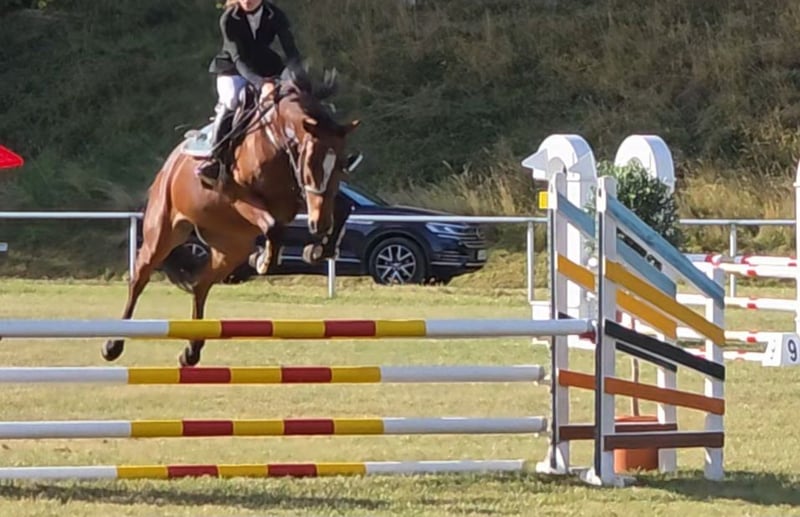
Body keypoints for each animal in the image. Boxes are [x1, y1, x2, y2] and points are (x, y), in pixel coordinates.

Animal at [102, 67, 360, 367]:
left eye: (341, 164)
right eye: (310, 162)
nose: (319, 225)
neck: (276, 139)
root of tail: (168, 165)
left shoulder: (298, 198)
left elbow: (342, 208)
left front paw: (319, 249)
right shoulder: (239, 195)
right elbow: (273, 226)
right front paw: (264, 260)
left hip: (230, 247)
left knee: (201, 284)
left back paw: (191, 351)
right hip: (163, 232)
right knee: (139, 278)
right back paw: (113, 345)